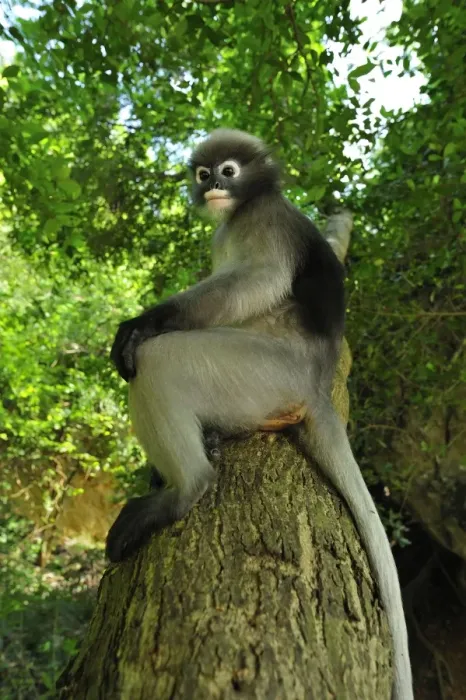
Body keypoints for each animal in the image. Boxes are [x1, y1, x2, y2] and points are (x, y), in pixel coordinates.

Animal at [107, 129, 412, 700]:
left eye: (229, 171)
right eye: (204, 175)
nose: (214, 187)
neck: (241, 208)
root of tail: (315, 384)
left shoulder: (264, 219)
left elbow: (258, 280)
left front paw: (139, 325)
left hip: (259, 373)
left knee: (160, 362)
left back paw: (184, 486)